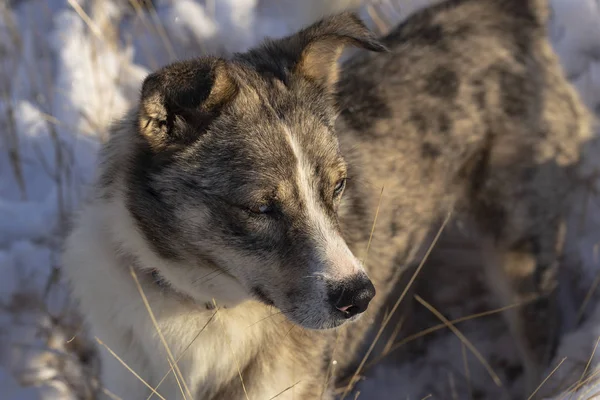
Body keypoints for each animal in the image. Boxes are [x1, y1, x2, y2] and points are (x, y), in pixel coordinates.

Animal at [62, 0, 592, 398]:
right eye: (260, 208)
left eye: (337, 186)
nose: (359, 298)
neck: (203, 305)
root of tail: (502, 12)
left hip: (521, 253)